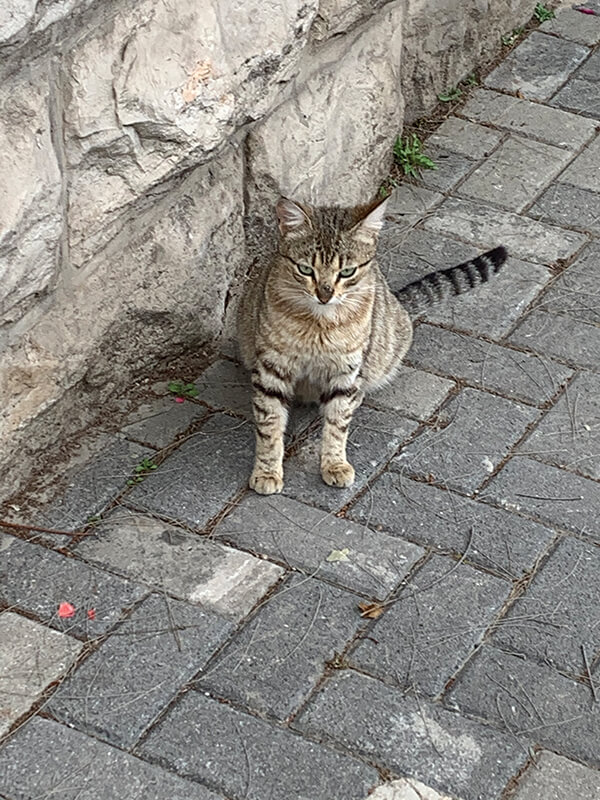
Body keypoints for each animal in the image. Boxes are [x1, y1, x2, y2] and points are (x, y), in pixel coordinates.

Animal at [236, 195, 506, 494]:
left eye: (347, 272)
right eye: (305, 269)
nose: (325, 295)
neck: (318, 325)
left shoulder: (347, 370)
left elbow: (337, 423)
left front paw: (335, 464)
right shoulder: (272, 368)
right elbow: (270, 425)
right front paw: (267, 471)